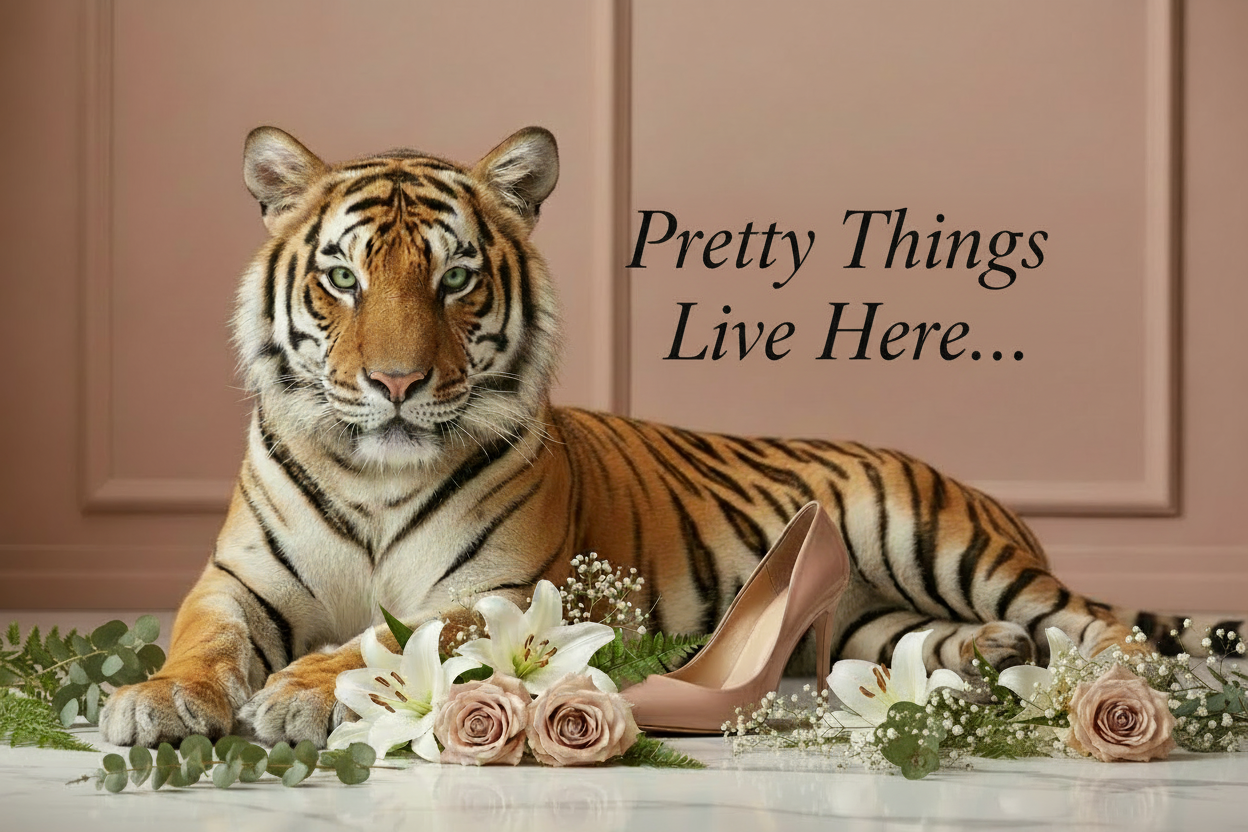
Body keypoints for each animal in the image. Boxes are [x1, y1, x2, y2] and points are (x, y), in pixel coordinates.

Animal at [99, 125, 1231, 749]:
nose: (396, 383)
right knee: (922, 640)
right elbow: (201, 642)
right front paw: (152, 701)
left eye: (455, 278)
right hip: (866, 619)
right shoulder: (238, 582)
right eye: (342, 277)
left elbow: (391, 634)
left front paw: (300, 693)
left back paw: (1157, 683)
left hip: (945, 543)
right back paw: (992, 653)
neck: (373, 473)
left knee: (1097, 620)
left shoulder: (502, 591)